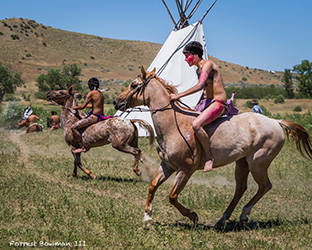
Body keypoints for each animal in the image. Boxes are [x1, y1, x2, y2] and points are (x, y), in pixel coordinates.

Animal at [114, 66, 312, 229]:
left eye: (133, 85)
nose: (116, 102)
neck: (172, 124)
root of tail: (275, 122)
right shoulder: (167, 166)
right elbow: (152, 187)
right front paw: (147, 218)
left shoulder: (185, 169)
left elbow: (172, 196)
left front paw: (192, 215)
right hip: (242, 163)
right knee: (240, 188)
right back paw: (222, 220)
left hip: (258, 163)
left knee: (264, 186)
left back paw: (244, 214)